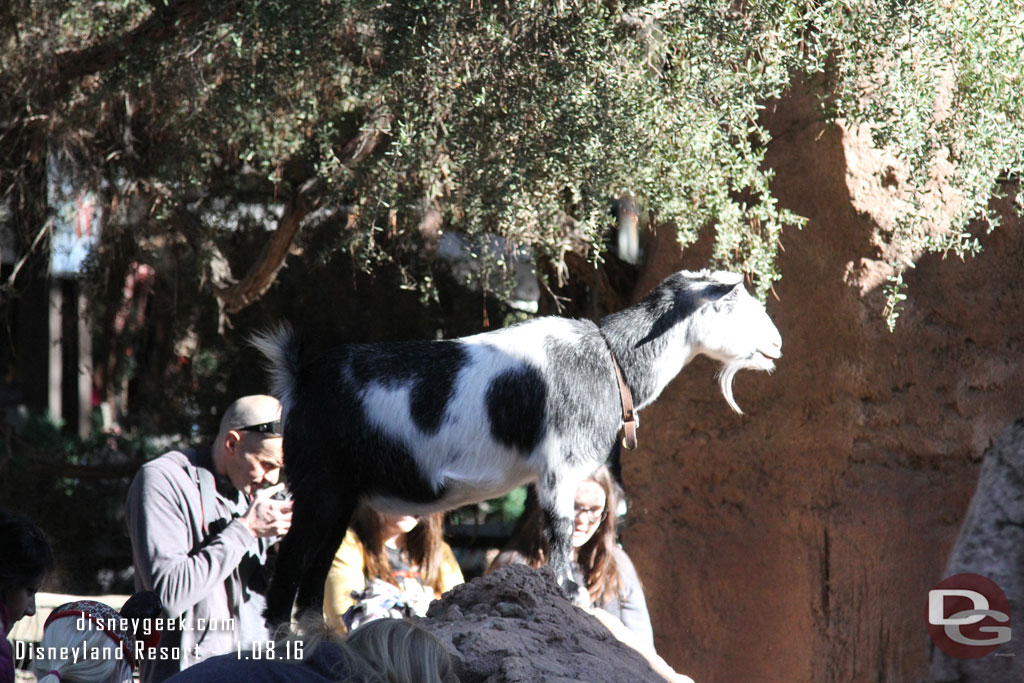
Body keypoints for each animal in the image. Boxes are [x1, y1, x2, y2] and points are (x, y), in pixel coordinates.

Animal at [251, 268, 778, 630]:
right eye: (734, 305)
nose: (776, 344)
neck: (610, 359)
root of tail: (299, 378)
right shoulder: (560, 466)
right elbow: (559, 529)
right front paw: (570, 591)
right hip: (319, 483)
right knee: (294, 557)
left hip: (340, 495)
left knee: (318, 562)